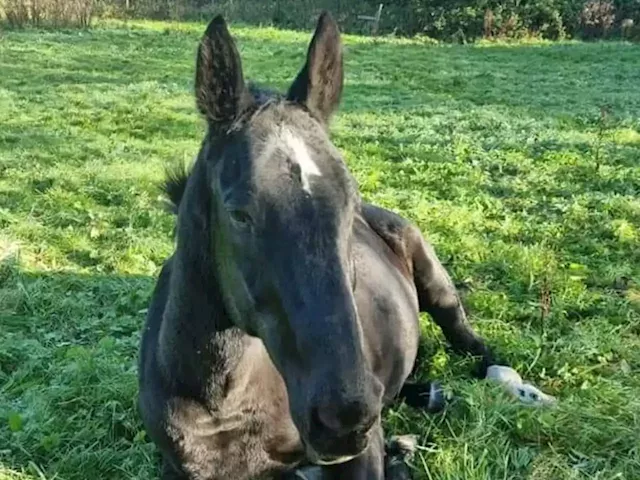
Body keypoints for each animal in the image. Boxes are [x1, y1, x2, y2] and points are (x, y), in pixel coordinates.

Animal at [139, 11, 556, 480]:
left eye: (349, 199)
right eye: (239, 213)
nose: (343, 418)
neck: (223, 407)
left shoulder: (361, 455)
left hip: (436, 286)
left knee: (470, 340)